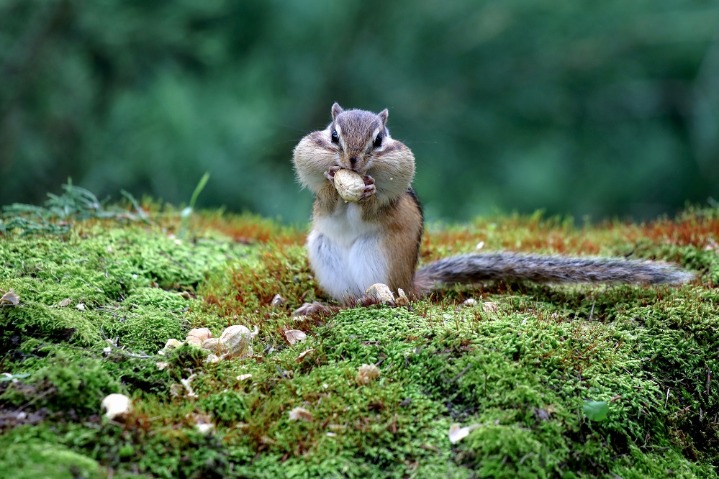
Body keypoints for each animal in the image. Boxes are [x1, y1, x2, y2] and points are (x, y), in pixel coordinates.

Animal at [292, 103, 694, 303]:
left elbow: (377, 204)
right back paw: (324, 305)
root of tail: (411, 280)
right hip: (324, 253)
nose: (352, 161)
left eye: (378, 140)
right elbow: (326, 202)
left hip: (376, 258)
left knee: (394, 298)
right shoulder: (321, 196)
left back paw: (375, 299)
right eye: (334, 135)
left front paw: (369, 190)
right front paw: (333, 178)